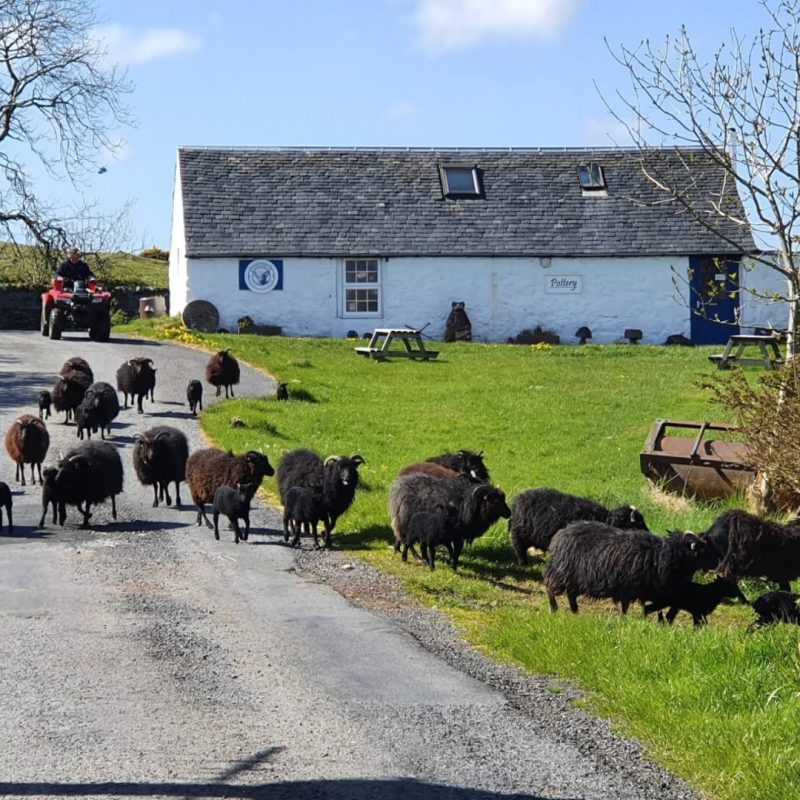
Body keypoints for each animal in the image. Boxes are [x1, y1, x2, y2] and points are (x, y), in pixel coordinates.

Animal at [510, 484, 648, 564]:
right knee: (519, 548)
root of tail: (517, 500)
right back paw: (523, 563)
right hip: (520, 534)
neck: (603, 518)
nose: (648, 534)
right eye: (636, 524)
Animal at [544, 520, 720, 616]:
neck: (666, 555)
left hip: (574, 577)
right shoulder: (627, 587)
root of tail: (560, 535)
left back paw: (575, 611)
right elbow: (625, 607)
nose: (717, 562)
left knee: (571, 594)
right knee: (550, 586)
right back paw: (554, 608)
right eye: (703, 549)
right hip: (563, 570)